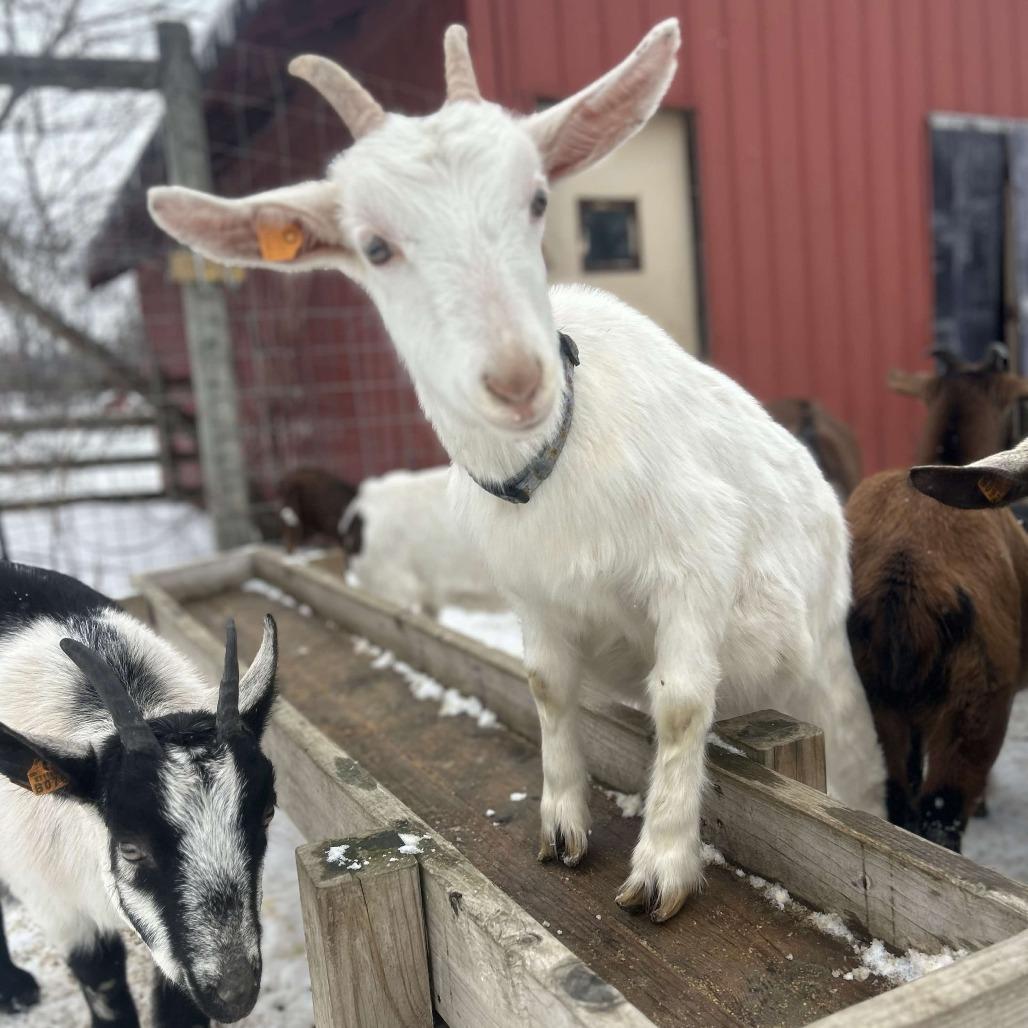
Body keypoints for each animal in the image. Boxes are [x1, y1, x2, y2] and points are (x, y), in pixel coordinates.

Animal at [0, 561, 278, 1025]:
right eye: (130, 848)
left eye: (267, 814)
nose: (234, 994)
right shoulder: (58, 906)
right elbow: (105, 984)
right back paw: (16, 990)